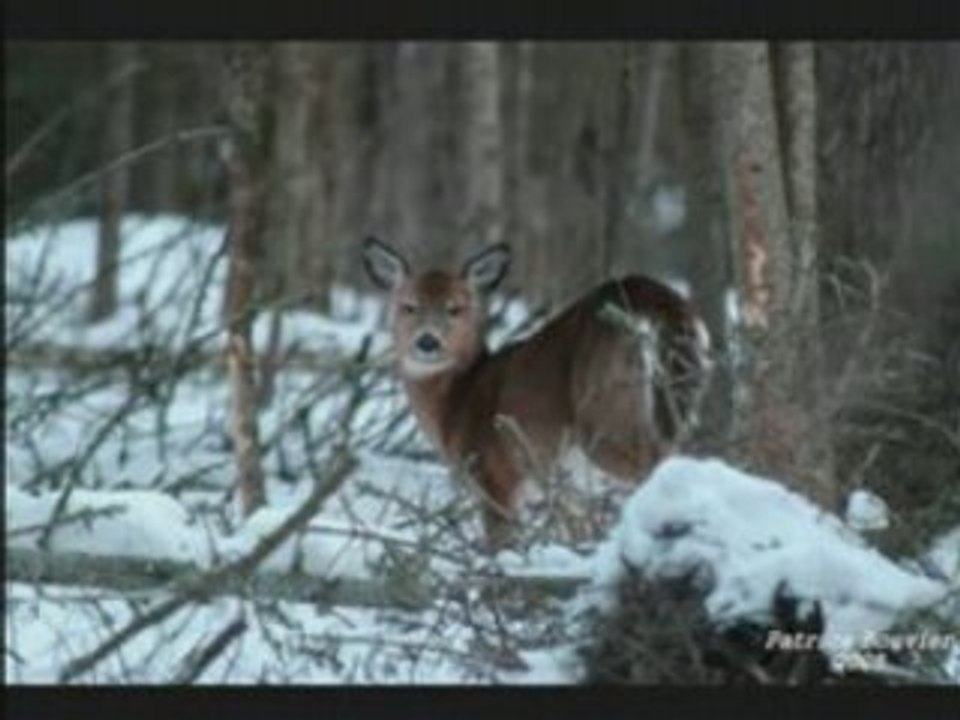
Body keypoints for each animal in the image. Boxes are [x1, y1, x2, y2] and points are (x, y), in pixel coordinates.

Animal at [362, 237, 712, 550]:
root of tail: (635, 287)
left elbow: (502, 545)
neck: (456, 402)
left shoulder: (495, 475)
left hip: (605, 415)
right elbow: (578, 532)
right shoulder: (564, 486)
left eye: (455, 309)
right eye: (409, 307)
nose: (427, 341)